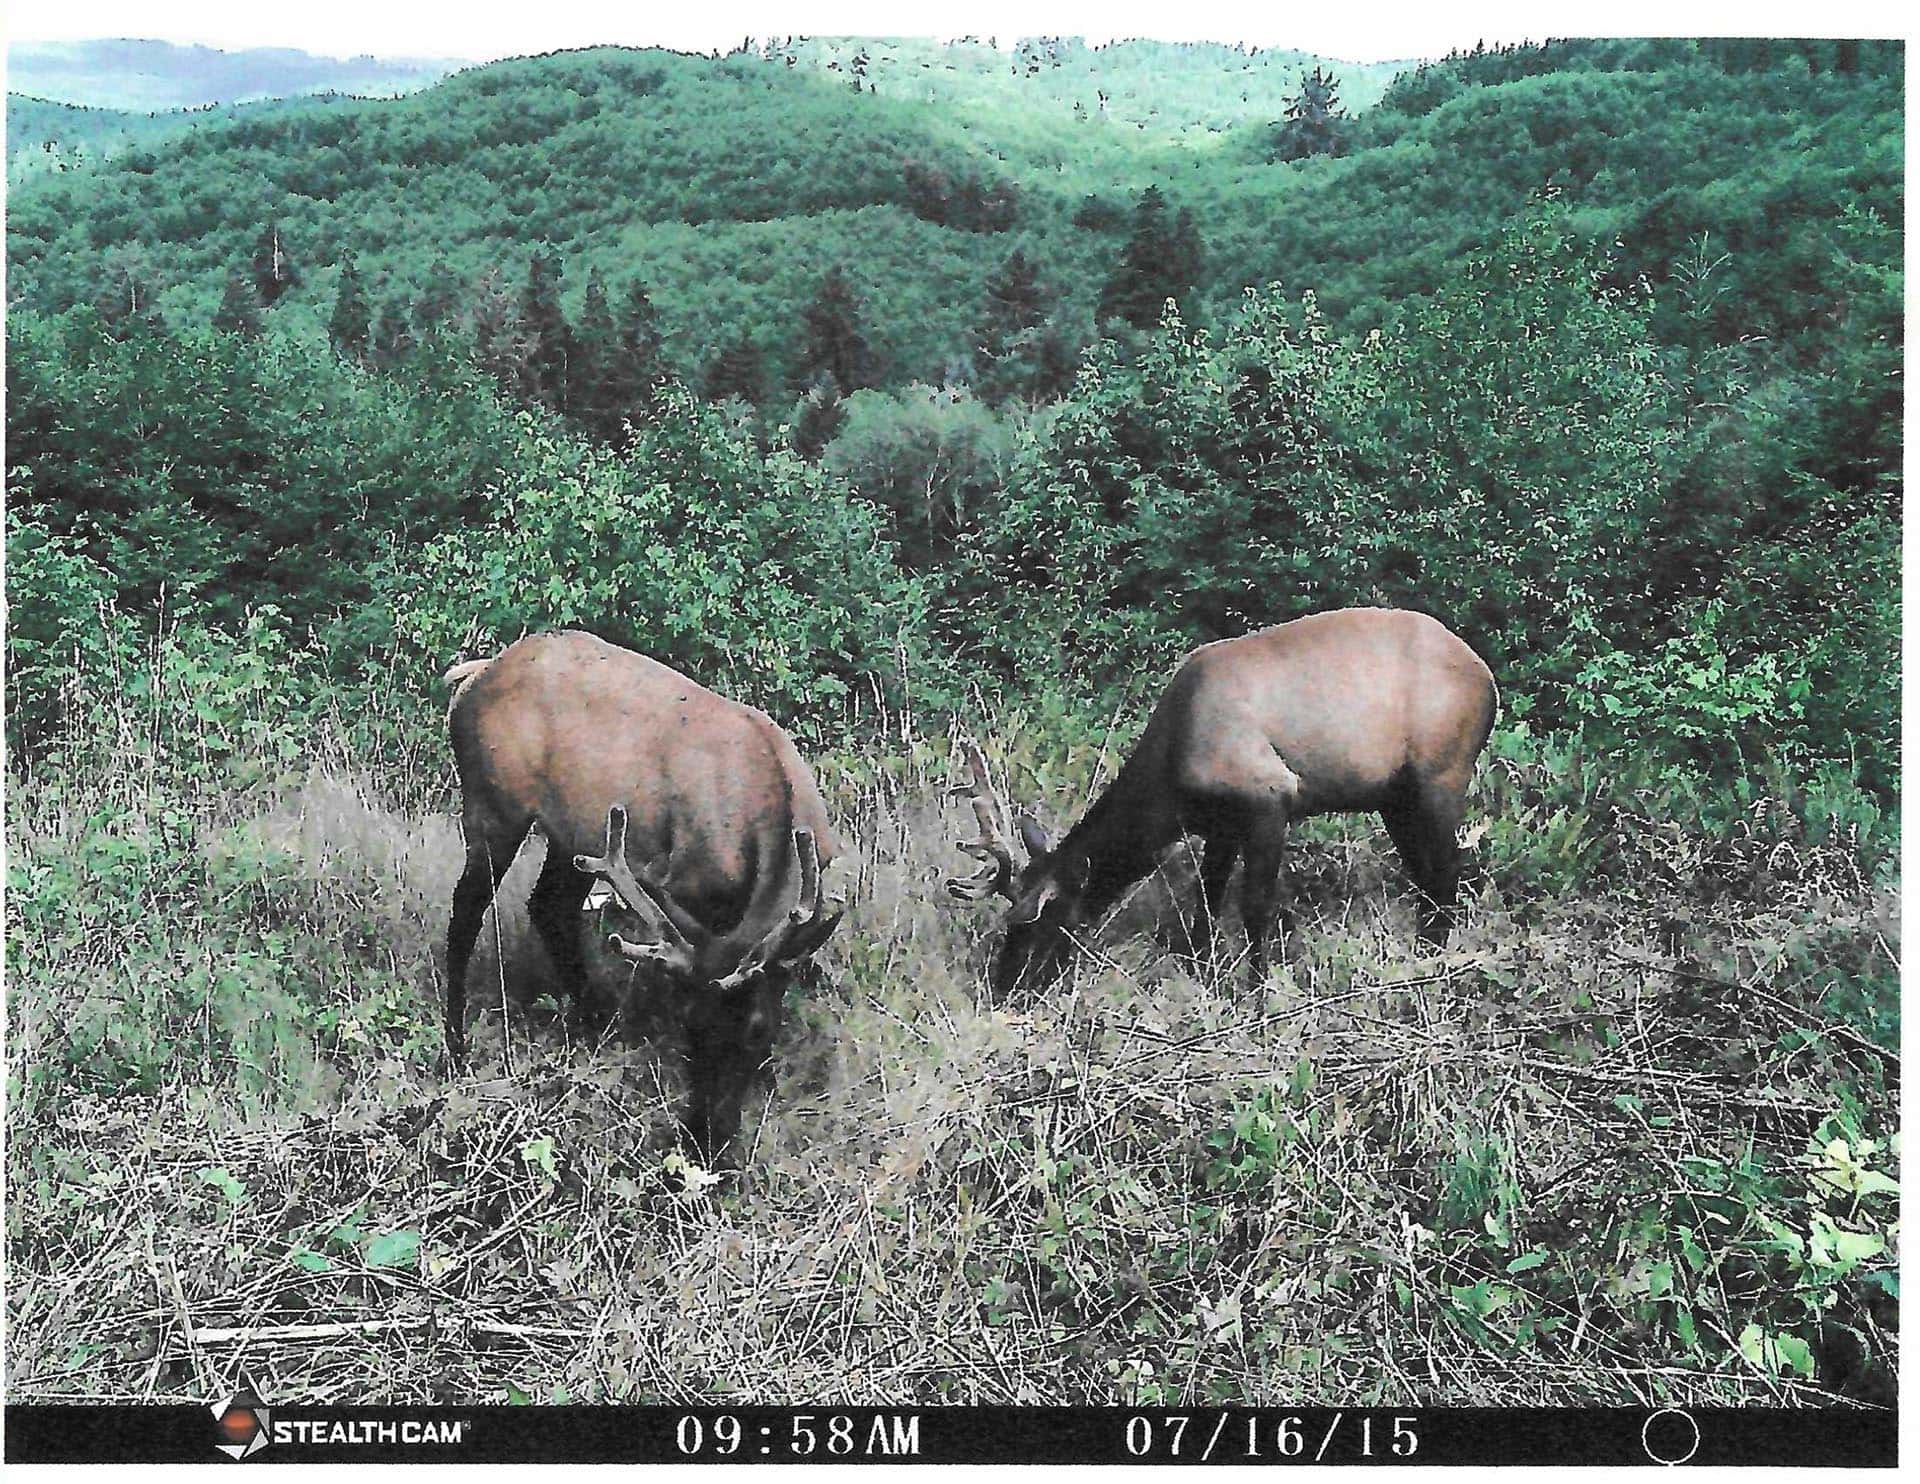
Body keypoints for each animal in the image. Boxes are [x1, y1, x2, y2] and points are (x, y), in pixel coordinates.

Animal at [444, 630, 843, 1159]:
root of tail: (475, 675)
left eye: (757, 1033)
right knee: (466, 911)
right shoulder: (690, 890)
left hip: (575, 831)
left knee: (549, 905)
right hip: (494, 803)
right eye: (688, 1028)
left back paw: (594, 1021)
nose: (706, 1143)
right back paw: (456, 1046)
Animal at [947, 608, 1497, 1000]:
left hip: (1442, 774)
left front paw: (1255, 992)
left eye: (1037, 920)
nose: (1004, 986)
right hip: (1395, 797)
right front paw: (1203, 974)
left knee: (1448, 873)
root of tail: (1488, 679)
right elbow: (1206, 900)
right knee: (1427, 876)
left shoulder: (1271, 798)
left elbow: (1254, 907)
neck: (1170, 788)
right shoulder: (1217, 824)